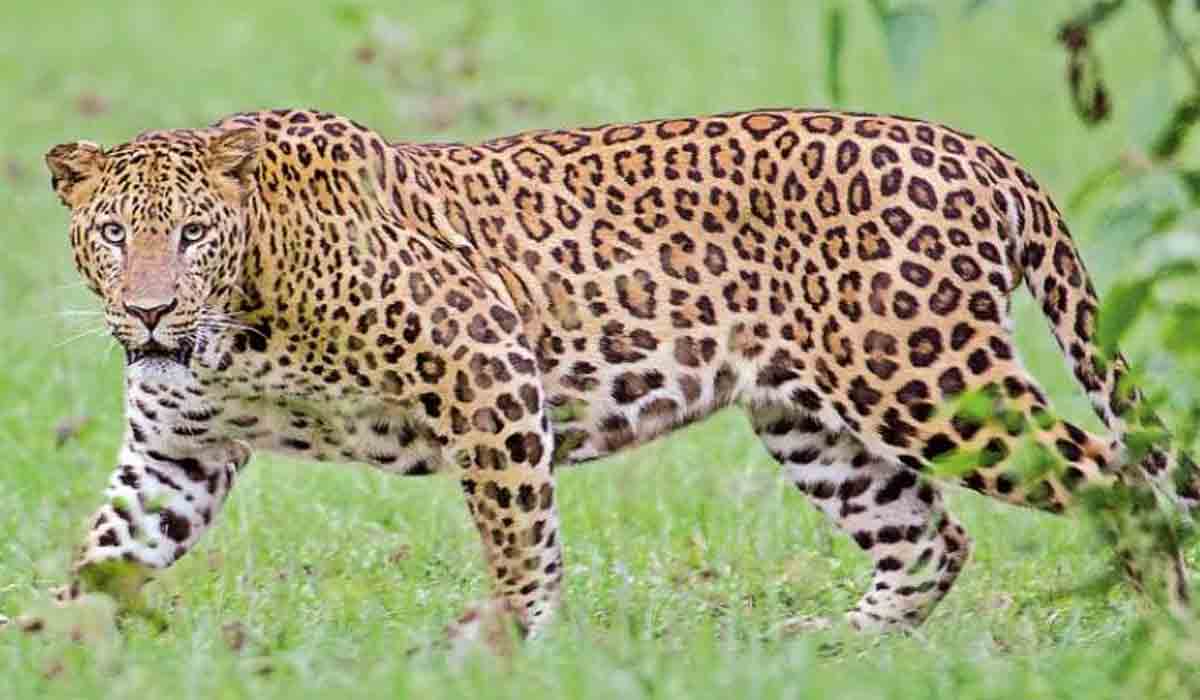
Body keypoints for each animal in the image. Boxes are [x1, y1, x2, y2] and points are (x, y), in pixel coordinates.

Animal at [43, 107, 1198, 638]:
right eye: (113, 233)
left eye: (193, 234)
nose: (149, 310)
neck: (239, 327)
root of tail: (982, 153)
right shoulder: (176, 453)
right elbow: (107, 554)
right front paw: (49, 642)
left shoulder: (487, 362)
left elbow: (519, 532)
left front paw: (506, 641)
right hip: (811, 420)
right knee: (931, 537)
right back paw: (840, 647)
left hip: (926, 378)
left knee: (1119, 481)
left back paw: (1155, 635)